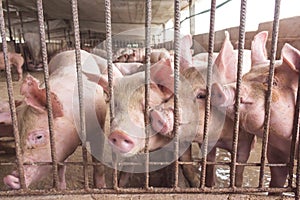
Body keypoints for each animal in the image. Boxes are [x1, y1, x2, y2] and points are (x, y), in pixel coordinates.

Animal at [3, 50, 107, 189]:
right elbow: (61, 166)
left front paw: (101, 187)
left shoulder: (98, 127)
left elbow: (98, 162)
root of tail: (71, 50)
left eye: (39, 136)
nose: (9, 178)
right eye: (18, 137)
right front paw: (61, 188)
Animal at [210, 31, 300, 189]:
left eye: (273, 83)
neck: (289, 144)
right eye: (244, 76)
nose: (217, 86)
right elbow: (277, 180)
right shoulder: (276, 151)